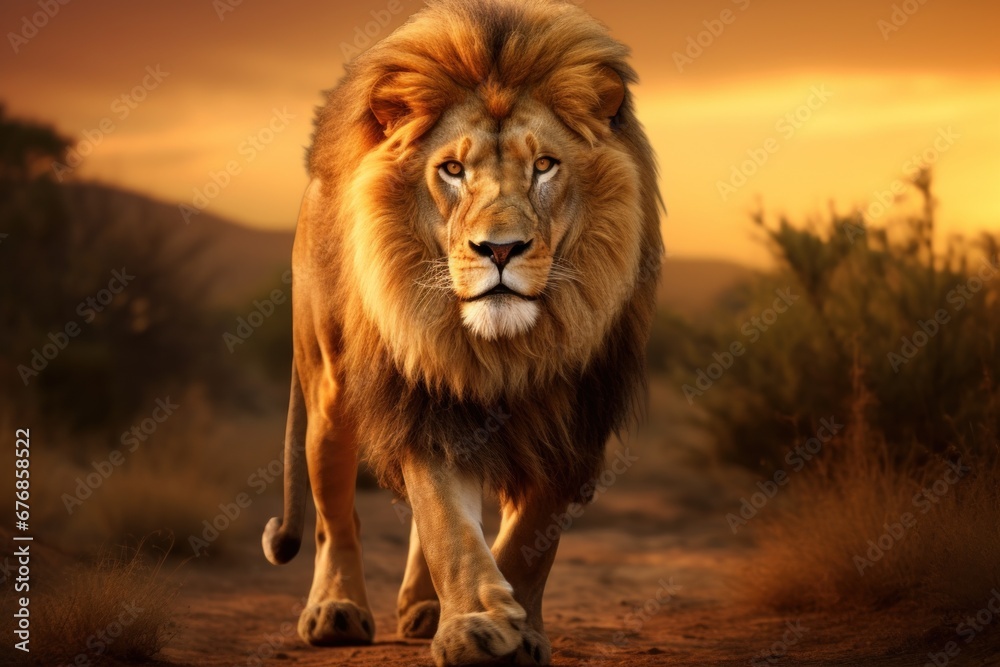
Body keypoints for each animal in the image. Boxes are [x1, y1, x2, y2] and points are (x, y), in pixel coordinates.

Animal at [261, 0, 663, 664]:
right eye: (451, 169)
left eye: (544, 165)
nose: (499, 249)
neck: (505, 350)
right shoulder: (424, 396)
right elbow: (446, 523)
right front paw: (476, 626)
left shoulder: (572, 418)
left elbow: (528, 538)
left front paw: (519, 630)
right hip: (327, 389)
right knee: (334, 514)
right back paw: (336, 611)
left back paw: (424, 609)